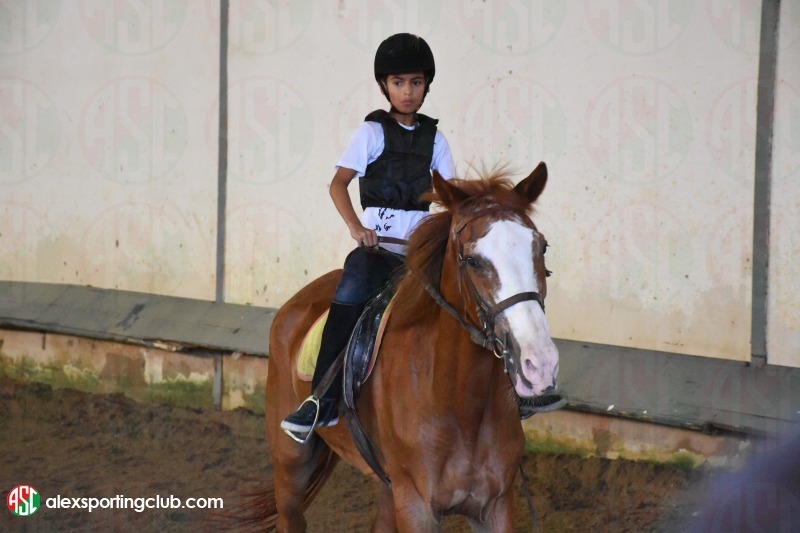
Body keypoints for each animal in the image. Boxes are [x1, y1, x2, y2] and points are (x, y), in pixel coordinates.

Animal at [255, 162, 559, 531]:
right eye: (472, 260)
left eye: (541, 248)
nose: (540, 363)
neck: (460, 403)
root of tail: (292, 304)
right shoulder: (417, 506)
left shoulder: (495, 506)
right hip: (291, 464)